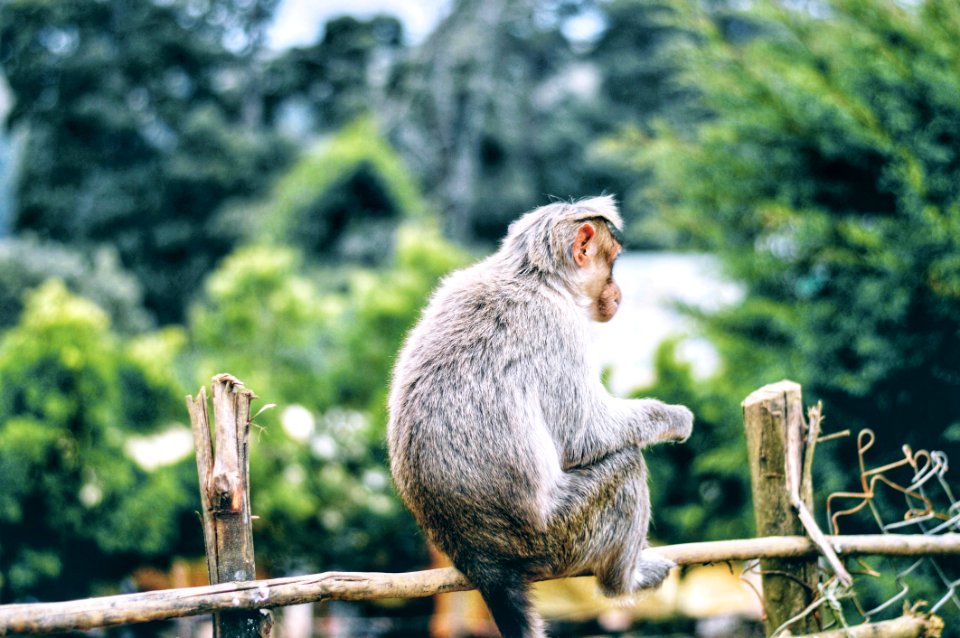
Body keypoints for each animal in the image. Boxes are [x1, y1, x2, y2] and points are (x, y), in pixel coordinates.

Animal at [386, 198, 692, 636]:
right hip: (559, 533)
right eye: (613, 263)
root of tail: (482, 558)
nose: (618, 292)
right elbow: (585, 434)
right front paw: (673, 417)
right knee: (626, 465)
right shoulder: (559, 327)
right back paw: (623, 581)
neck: (534, 277)